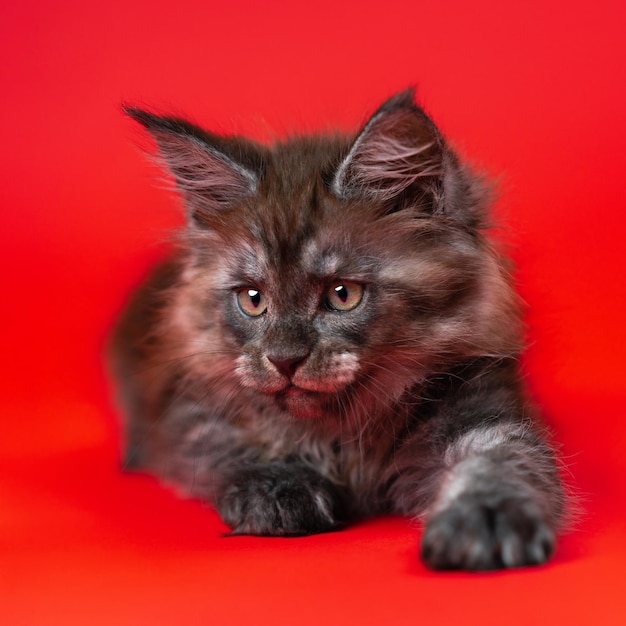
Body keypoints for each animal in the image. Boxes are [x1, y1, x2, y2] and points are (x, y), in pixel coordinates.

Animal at [112, 89, 564, 572]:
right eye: (253, 299)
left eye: (343, 294)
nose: (284, 359)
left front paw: (486, 517)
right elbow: (228, 445)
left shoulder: (484, 402)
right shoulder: (187, 414)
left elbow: (501, 458)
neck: (342, 432)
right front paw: (281, 489)